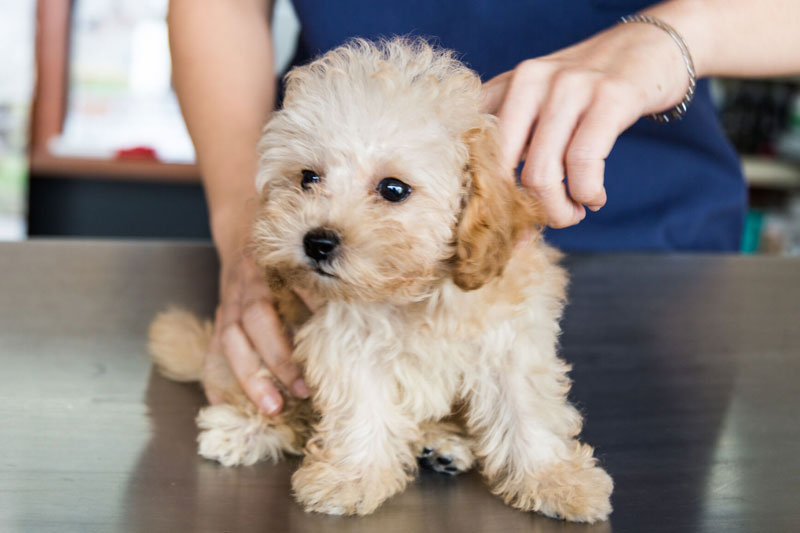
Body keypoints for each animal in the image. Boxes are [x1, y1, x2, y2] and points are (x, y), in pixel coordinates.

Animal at [150, 38, 612, 524]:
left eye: (393, 189)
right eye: (308, 178)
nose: (317, 241)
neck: (412, 292)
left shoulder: (511, 340)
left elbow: (526, 412)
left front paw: (555, 479)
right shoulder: (345, 344)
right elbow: (362, 412)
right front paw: (351, 478)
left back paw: (440, 443)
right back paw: (246, 426)